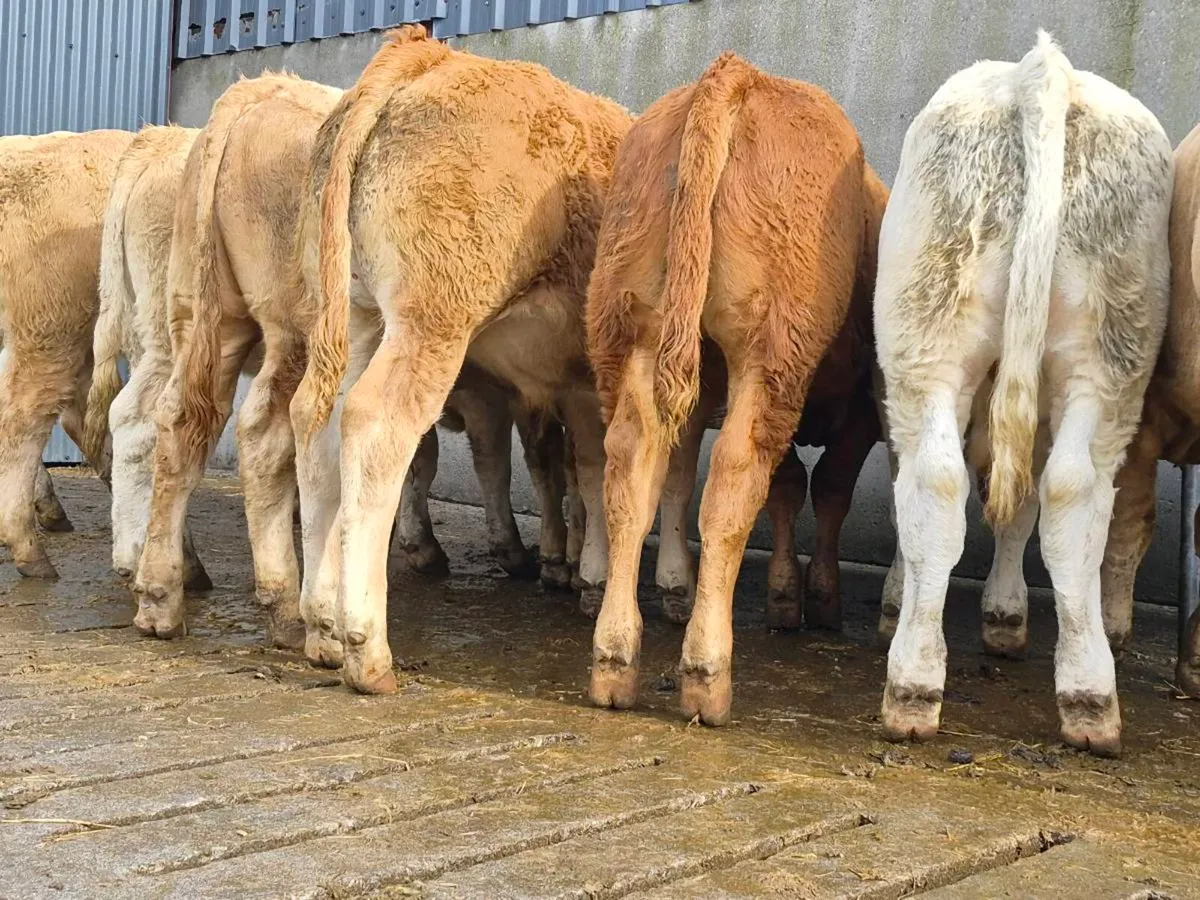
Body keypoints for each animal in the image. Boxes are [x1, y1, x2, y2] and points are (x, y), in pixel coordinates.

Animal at [291, 25, 632, 693]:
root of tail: (429, 54)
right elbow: (593, 469)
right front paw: (590, 576)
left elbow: (575, 468)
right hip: (432, 318)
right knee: (376, 427)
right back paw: (366, 649)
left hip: (353, 316)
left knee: (318, 423)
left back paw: (321, 629)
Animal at [586, 53, 884, 726]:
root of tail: (736, 75)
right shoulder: (859, 411)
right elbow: (824, 490)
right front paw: (817, 598)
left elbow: (788, 488)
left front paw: (786, 594)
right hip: (768, 351)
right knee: (730, 483)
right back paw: (707, 672)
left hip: (637, 332)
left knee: (630, 475)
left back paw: (614, 660)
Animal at [874, 32, 1172, 758]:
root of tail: (1037, 72)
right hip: (1103, 349)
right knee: (1061, 491)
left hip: (941, 335)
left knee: (952, 483)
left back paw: (921, 682)